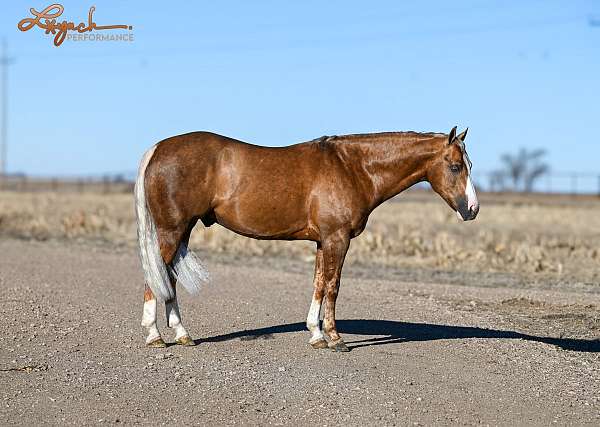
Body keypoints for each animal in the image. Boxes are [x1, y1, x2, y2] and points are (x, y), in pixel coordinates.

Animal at [135, 126, 478, 352]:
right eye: (455, 166)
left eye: (469, 165)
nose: (472, 210)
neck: (352, 168)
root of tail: (157, 148)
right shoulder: (337, 239)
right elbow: (333, 286)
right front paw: (335, 339)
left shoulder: (322, 241)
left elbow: (318, 284)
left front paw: (316, 335)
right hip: (171, 231)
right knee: (155, 277)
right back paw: (155, 336)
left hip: (182, 230)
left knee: (169, 278)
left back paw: (182, 334)